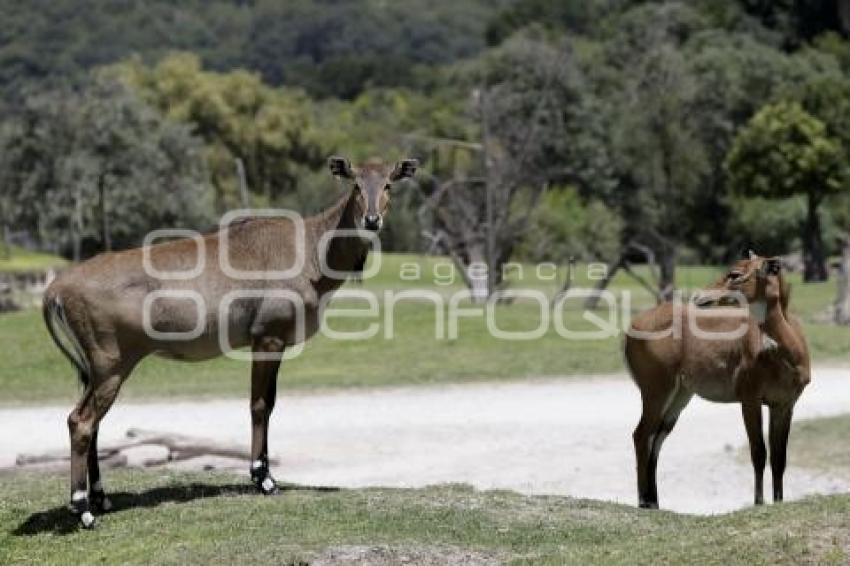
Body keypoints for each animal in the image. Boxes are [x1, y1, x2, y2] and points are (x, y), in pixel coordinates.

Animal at [44, 155, 416, 528]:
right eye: (356, 184)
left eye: (388, 183)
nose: (372, 220)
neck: (313, 248)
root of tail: (57, 289)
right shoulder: (267, 338)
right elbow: (260, 405)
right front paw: (264, 479)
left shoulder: (275, 342)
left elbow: (270, 402)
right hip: (112, 365)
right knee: (81, 421)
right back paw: (83, 509)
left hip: (96, 370)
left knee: (91, 423)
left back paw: (102, 499)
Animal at [624, 253, 808, 510]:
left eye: (735, 273)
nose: (699, 296)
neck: (787, 351)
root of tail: (631, 329)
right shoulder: (750, 400)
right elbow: (758, 452)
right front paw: (759, 502)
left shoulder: (784, 405)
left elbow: (779, 457)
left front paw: (778, 501)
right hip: (656, 390)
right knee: (641, 435)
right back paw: (644, 502)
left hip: (679, 397)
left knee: (655, 439)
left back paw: (654, 502)